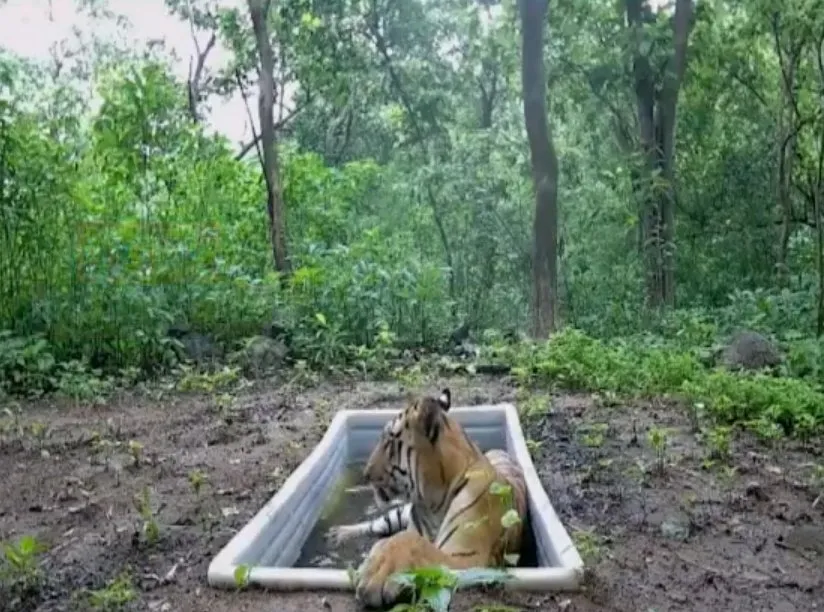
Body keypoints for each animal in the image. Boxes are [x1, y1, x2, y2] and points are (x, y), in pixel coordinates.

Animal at [327, 388, 528, 608]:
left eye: (388, 441)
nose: (366, 474)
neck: (432, 503)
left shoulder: (467, 557)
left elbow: (408, 540)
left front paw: (377, 570)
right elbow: (399, 537)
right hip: (399, 513)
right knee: (377, 524)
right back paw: (340, 533)